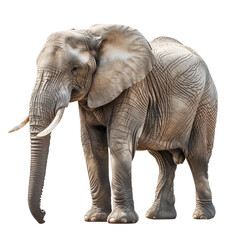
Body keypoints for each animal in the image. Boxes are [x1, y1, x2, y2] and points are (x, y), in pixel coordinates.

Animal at [9, 23, 218, 223]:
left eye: (75, 69)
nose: (44, 215)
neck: (91, 34)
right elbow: (91, 146)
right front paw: (95, 218)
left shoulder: (134, 87)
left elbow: (118, 141)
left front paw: (120, 220)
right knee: (164, 161)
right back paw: (158, 216)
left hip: (206, 102)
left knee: (197, 155)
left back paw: (202, 216)